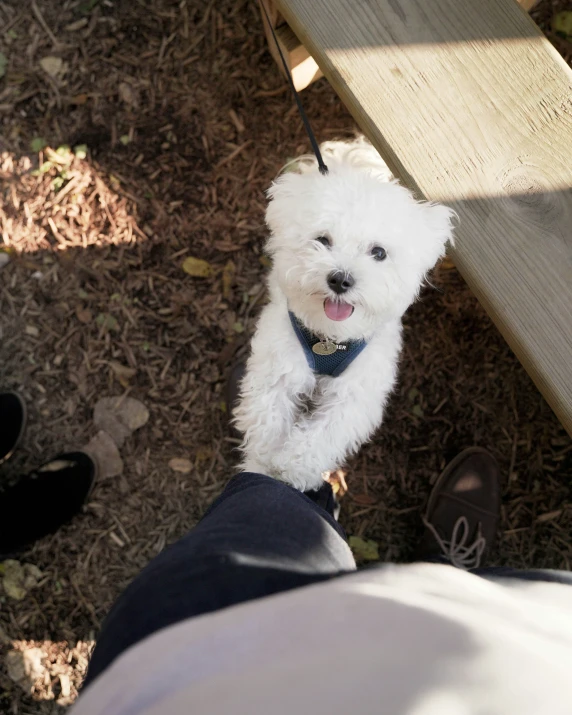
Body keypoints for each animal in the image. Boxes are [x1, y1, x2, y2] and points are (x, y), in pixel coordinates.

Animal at [235, 136, 454, 492]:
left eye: (378, 252)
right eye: (322, 240)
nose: (340, 279)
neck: (330, 338)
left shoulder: (355, 396)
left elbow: (325, 434)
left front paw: (294, 469)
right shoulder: (277, 367)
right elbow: (267, 417)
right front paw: (262, 464)